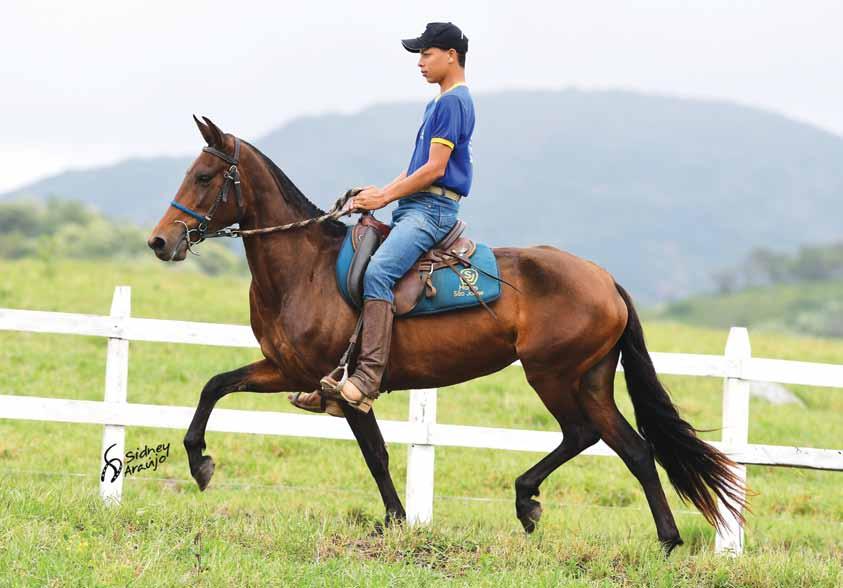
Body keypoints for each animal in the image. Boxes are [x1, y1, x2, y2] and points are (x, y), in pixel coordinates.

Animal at [145, 117, 744, 552]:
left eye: (204, 177)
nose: (159, 241)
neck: (304, 268)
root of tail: (605, 279)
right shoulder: (287, 369)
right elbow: (215, 385)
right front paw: (199, 462)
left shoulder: (343, 383)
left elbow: (376, 454)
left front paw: (395, 520)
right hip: (591, 378)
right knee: (634, 449)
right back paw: (664, 540)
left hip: (551, 374)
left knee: (582, 434)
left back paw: (528, 501)